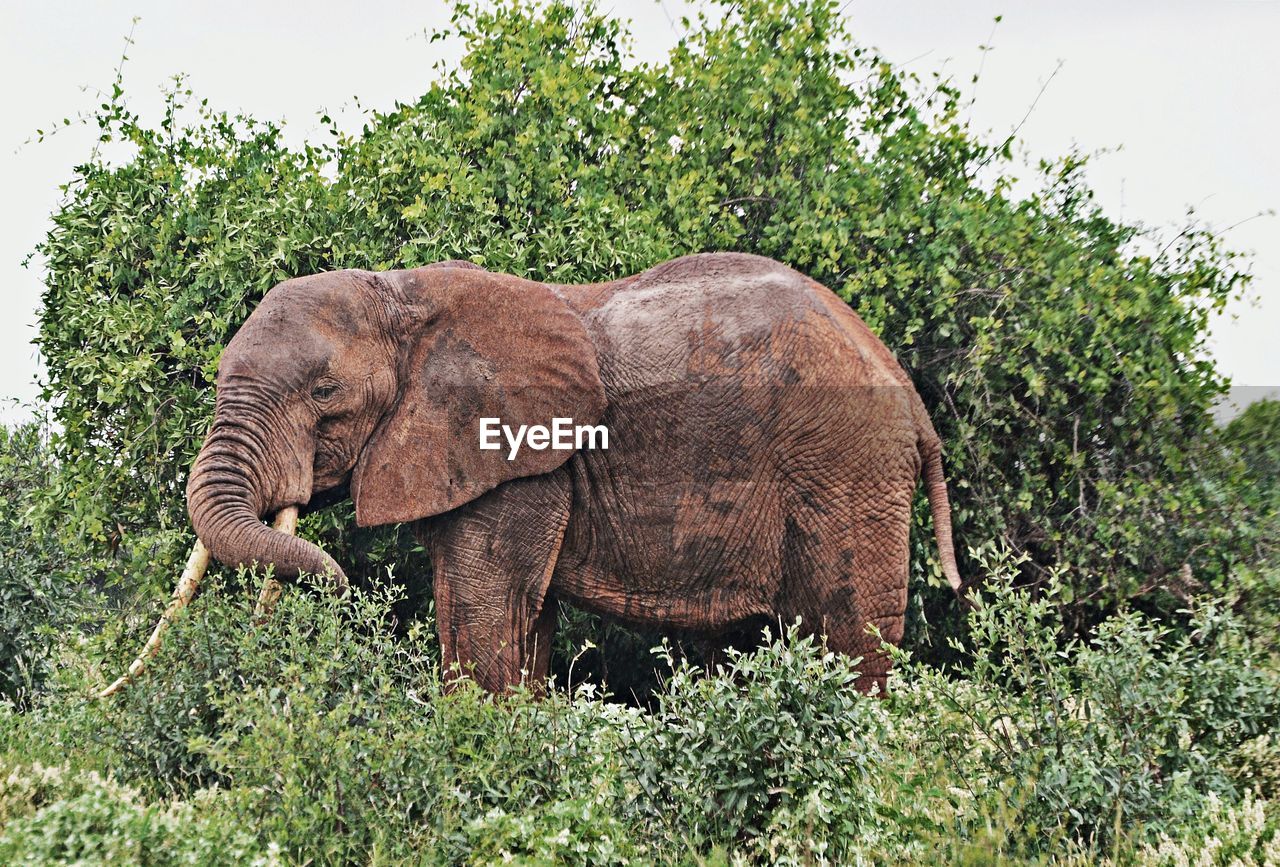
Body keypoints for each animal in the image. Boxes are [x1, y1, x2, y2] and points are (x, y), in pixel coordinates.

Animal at [102, 252, 962, 696]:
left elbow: (481, 605)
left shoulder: (518, 457)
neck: (403, 293)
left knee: (850, 636)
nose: (342, 582)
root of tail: (906, 390)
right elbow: (521, 612)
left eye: (324, 394)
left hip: (846, 469)